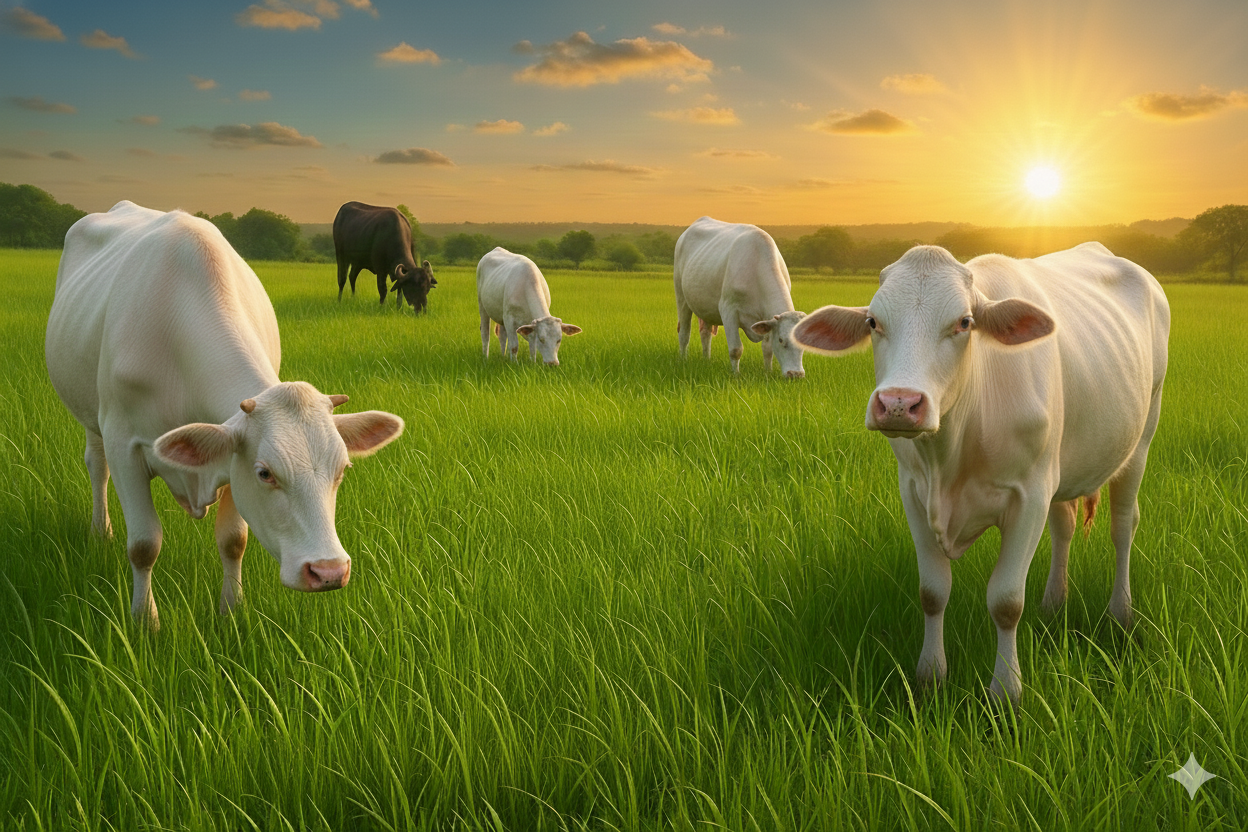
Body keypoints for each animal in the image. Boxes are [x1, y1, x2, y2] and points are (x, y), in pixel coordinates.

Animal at [46, 201, 406, 630]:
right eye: (266, 473)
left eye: (343, 470)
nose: (329, 571)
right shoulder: (124, 443)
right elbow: (144, 545)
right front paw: (145, 621)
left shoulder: (232, 456)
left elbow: (234, 541)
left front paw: (232, 609)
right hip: (90, 415)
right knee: (96, 466)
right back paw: (101, 531)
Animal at [673, 216, 807, 377]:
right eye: (781, 340)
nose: (796, 374)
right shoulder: (728, 310)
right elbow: (736, 349)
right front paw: (736, 375)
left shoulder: (767, 318)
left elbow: (767, 349)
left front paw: (767, 372)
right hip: (681, 296)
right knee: (684, 333)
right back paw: (683, 359)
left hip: (705, 306)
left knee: (705, 333)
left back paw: (706, 359)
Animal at [791, 243, 1169, 703]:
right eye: (873, 322)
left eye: (964, 323)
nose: (899, 403)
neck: (953, 453)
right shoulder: (913, 491)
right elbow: (932, 592)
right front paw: (930, 675)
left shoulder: (1030, 496)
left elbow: (1006, 602)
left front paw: (1006, 690)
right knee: (1064, 525)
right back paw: (1053, 603)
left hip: (1142, 438)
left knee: (1123, 528)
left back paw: (1120, 614)